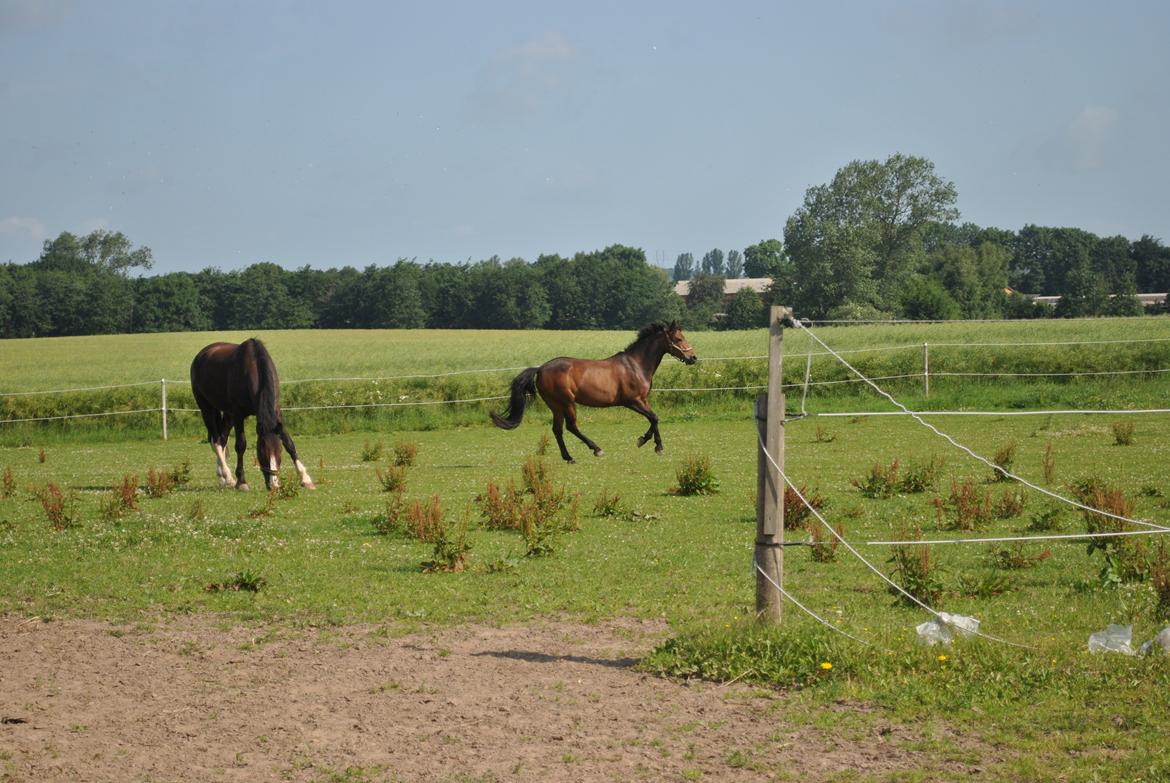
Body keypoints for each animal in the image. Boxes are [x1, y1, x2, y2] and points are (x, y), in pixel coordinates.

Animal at [193, 337, 318, 489]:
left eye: (279, 452)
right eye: (262, 453)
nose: (274, 485)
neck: (252, 368)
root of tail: (201, 355)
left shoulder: (277, 414)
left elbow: (289, 443)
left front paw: (305, 479)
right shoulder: (238, 415)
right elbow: (241, 445)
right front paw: (242, 482)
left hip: (228, 414)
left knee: (222, 439)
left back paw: (224, 478)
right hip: (207, 409)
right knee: (215, 440)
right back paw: (227, 476)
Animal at [491, 318, 692, 461]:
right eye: (679, 339)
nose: (693, 357)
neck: (635, 365)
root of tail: (540, 369)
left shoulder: (643, 400)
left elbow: (654, 418)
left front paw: (644, 440)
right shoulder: (632, 401)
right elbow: (654, 418)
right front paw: (656, 446)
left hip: (555, 405)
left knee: (557, 429)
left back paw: (569, 457)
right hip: (567, 402)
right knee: (571, 426)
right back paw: (596, 449)